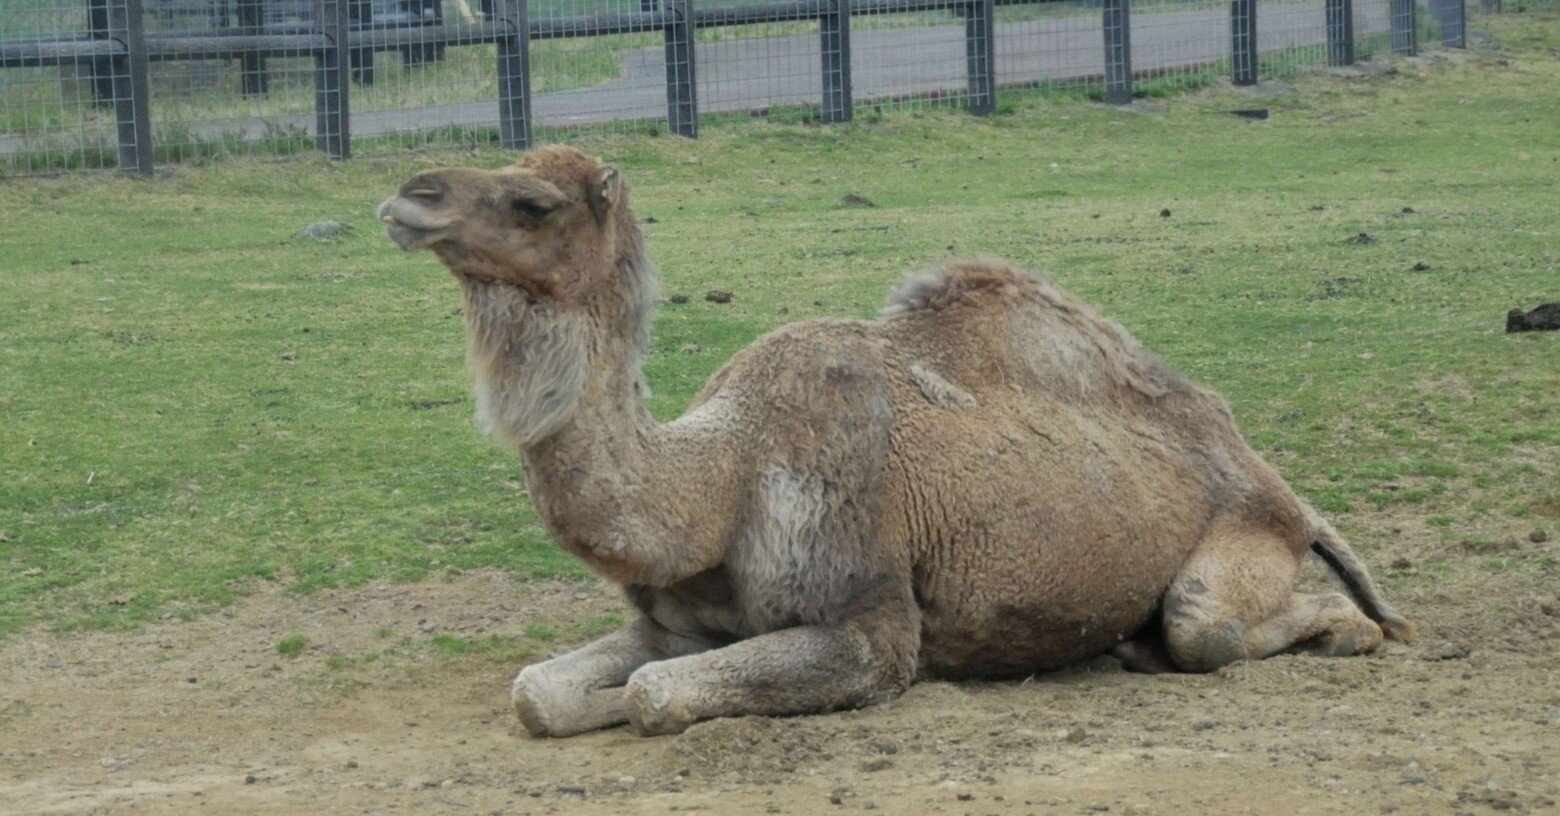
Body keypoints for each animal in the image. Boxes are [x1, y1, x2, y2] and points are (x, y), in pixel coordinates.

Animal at [377, 146, 1416, 738]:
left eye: (535, 204)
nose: (409, 196)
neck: (718, 476)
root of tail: (1279, 485)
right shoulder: (674, 622)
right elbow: (540, 693)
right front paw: (579, 699)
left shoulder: (872, 624)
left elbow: (657, 696)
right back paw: (1133, 648)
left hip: (1245, 541)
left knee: (1211, 625)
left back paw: (1347, 631)